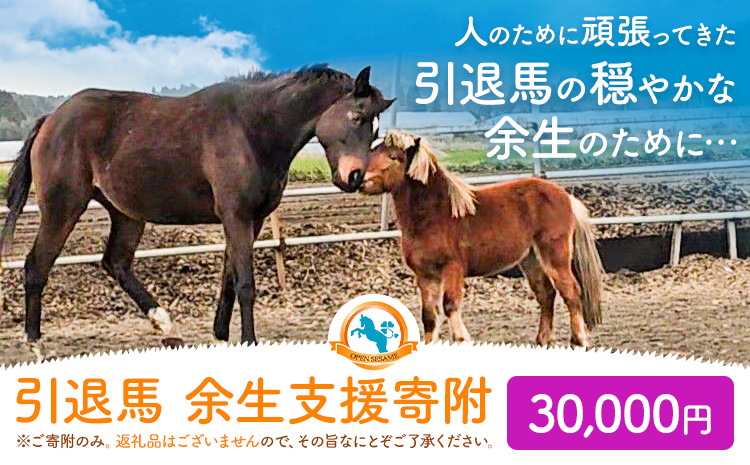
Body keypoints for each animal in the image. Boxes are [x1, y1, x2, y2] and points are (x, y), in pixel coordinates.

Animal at [0, 65, 394, 346]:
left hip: (126, 214)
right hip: (63, 207)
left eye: (375, 130)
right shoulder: (236, 215)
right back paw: (35, 343)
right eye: (356, 117)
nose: (355, 177)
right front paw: (249, 340)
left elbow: (229, 279)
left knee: (115, 262)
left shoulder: (252, 220)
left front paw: (221, 335)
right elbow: (246, 283)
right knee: (36, 265)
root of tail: (51, 119)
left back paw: (164, 323)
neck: (252, 128)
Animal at [359, 130, 604, 347]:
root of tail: (567, 198)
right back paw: (543, 340)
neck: (435, 213)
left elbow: (450, 306)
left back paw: (579, 341)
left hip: (555, 257)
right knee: (546, 295)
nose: (359, 181)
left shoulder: (453, 269)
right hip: (531, 260)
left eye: (394, 157)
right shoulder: (425, 275)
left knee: (571, 292)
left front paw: (462, 339)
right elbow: (429, 316)